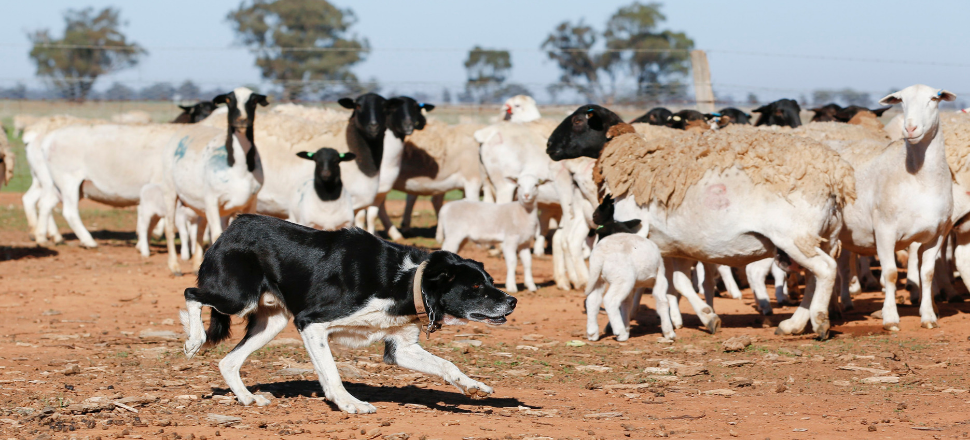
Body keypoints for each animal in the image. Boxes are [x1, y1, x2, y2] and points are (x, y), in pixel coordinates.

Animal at [181, 215, 516, 414]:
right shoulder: (311, 323)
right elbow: (331, 373)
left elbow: (447, 365)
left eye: (491, 281)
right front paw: (349, 404)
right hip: (238, 299)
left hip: (271, 322)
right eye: (475, 287)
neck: (406, 280)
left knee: (227, 361)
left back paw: (248, 398)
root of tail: (232, 226)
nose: (512, 301)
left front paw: (474, 387)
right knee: (191, 294)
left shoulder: (401, 349)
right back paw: (193, 339)